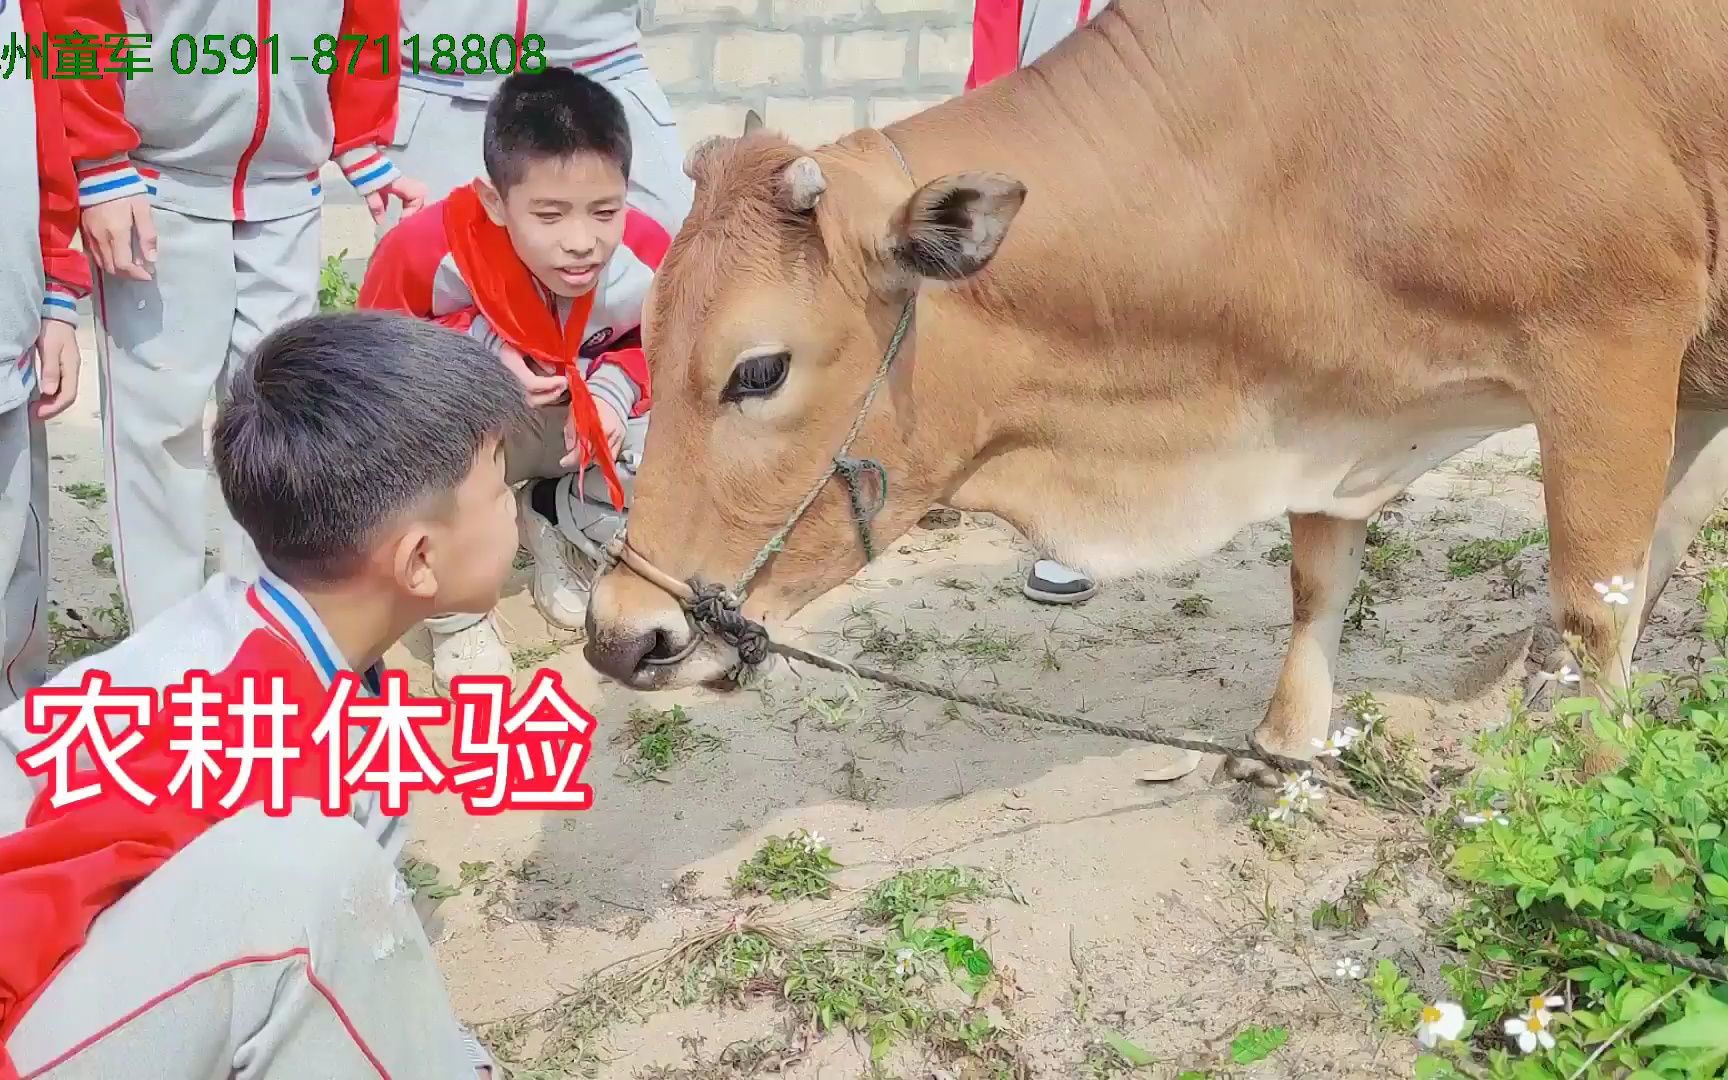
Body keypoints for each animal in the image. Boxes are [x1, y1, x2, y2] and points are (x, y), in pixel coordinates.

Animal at [580, 0, 1728, 777]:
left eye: (758, 370)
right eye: (646, 336)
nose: (621, 633)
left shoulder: (1613, 336)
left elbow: (1590, 605)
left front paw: (1594, 781)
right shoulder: (1328, 405)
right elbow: (1318, 578)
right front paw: (1282, 749)